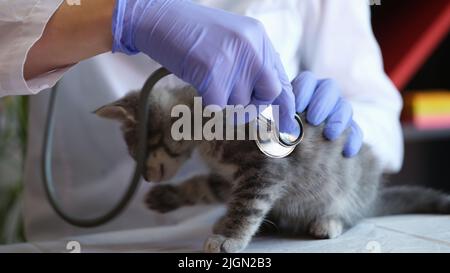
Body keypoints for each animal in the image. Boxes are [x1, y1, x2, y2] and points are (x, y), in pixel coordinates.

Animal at [96, 86, 450, 252]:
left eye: (136, 152)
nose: (144, 177)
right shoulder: (228, 176)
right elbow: (203, 186)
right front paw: (166, 196)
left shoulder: (264, 169)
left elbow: (246, 207)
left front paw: (230, 237)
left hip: (350, 186)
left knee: (352, 214)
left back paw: (329, 222)